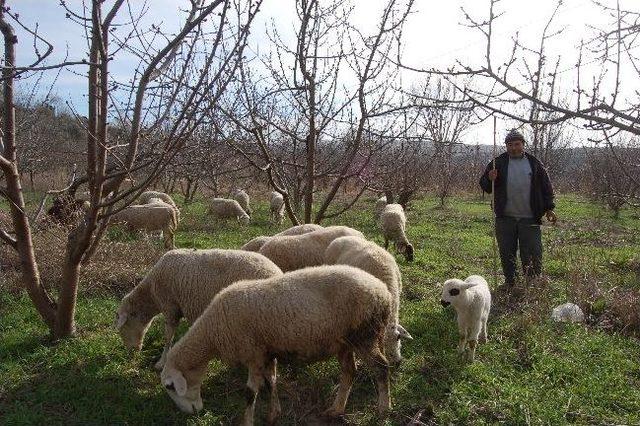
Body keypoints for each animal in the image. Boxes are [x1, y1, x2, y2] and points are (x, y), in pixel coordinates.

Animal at [114, 250, 282, 370]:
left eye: (123, 328)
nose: (131, 353)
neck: (151, 295)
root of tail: (277, 272)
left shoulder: (170, 307)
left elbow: (168, 337)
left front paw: (161, 362)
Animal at [160, 262, 390, 422]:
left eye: (170, 387)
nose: (192, 413)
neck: (213, 332)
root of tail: (383, 292)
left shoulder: (252, 354)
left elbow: (250, 394)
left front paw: (247, 422)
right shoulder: (267, 352)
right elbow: (271, 381)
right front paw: (274, 413)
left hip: (365, 335)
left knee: (381, 368)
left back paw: (383, 410)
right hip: (344, 342)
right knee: (349, 372)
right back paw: (336, 409)